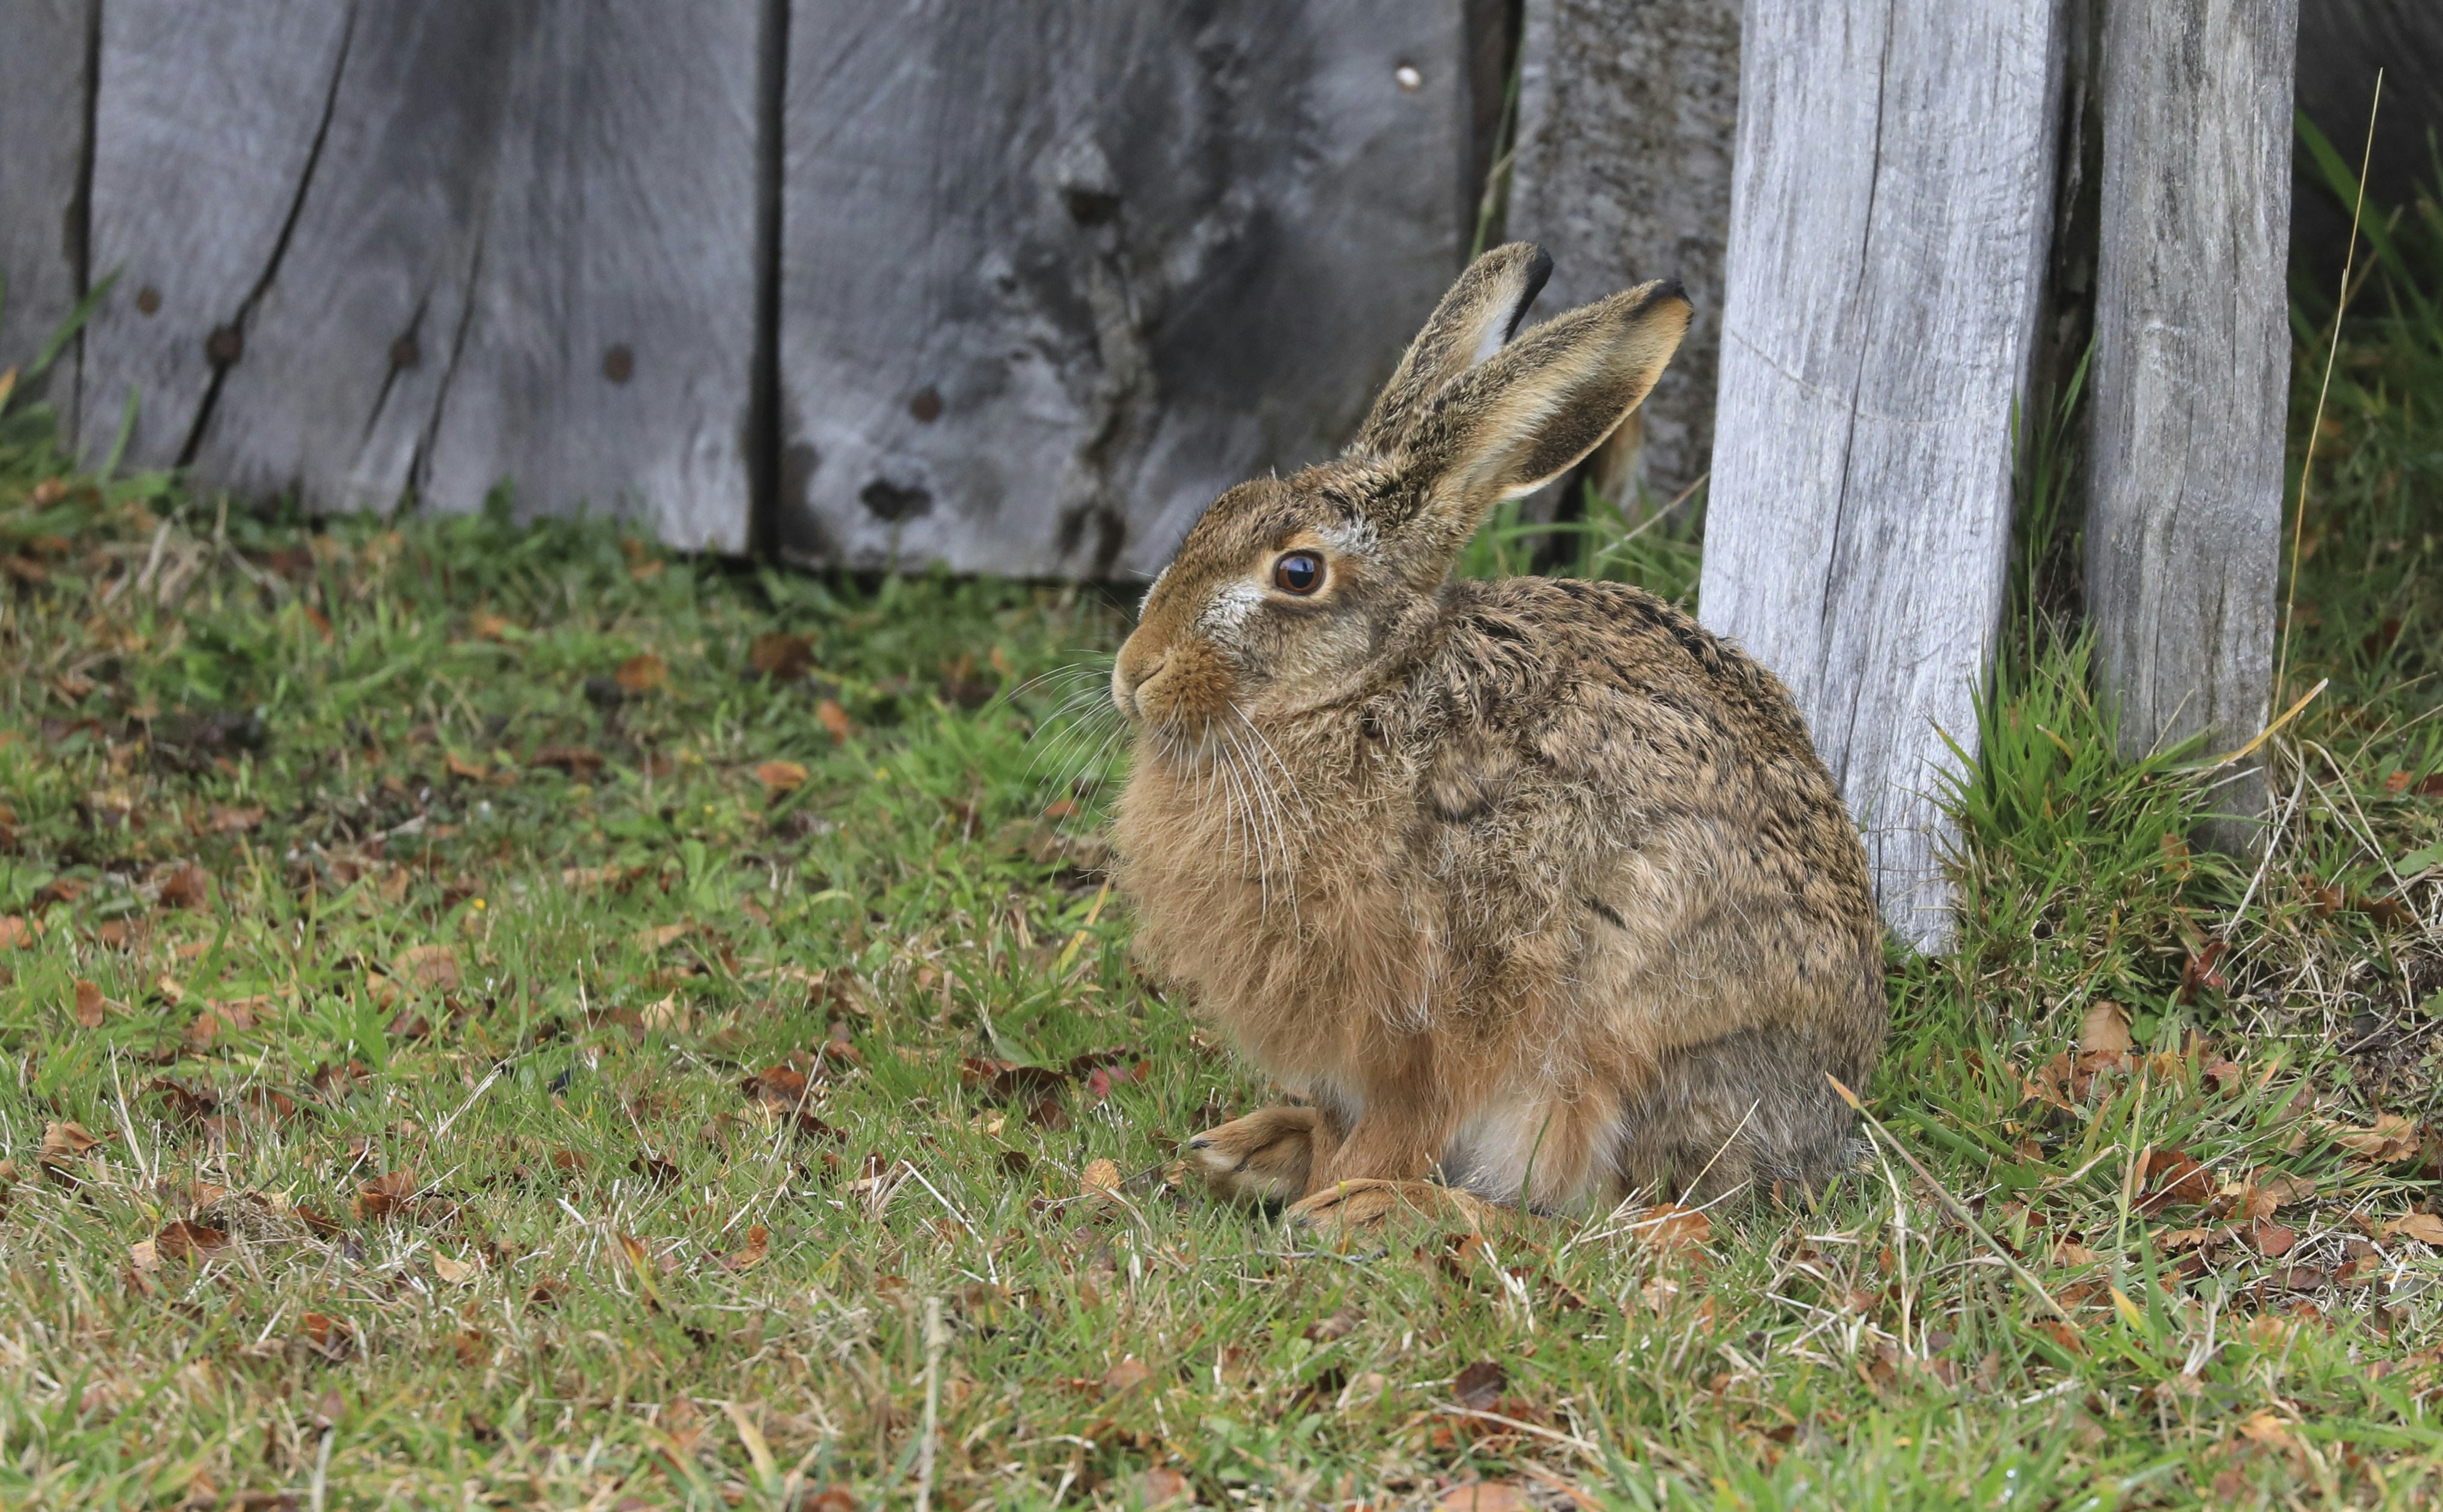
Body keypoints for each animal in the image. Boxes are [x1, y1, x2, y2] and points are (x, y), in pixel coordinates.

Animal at [1107, 243, 1887, 1229]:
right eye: (1221, 509)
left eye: (1299, 572)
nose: (1134, 673)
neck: (1355, 693)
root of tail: (1824, 1129)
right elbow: (1341, 1113)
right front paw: (1294, 1162)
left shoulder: (1426, 1008)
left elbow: (1403, 1118)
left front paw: (1337, 1203)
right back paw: (1253, 1151)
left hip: (1625, 1043)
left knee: (1617, 1218)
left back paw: (1388, 1211)